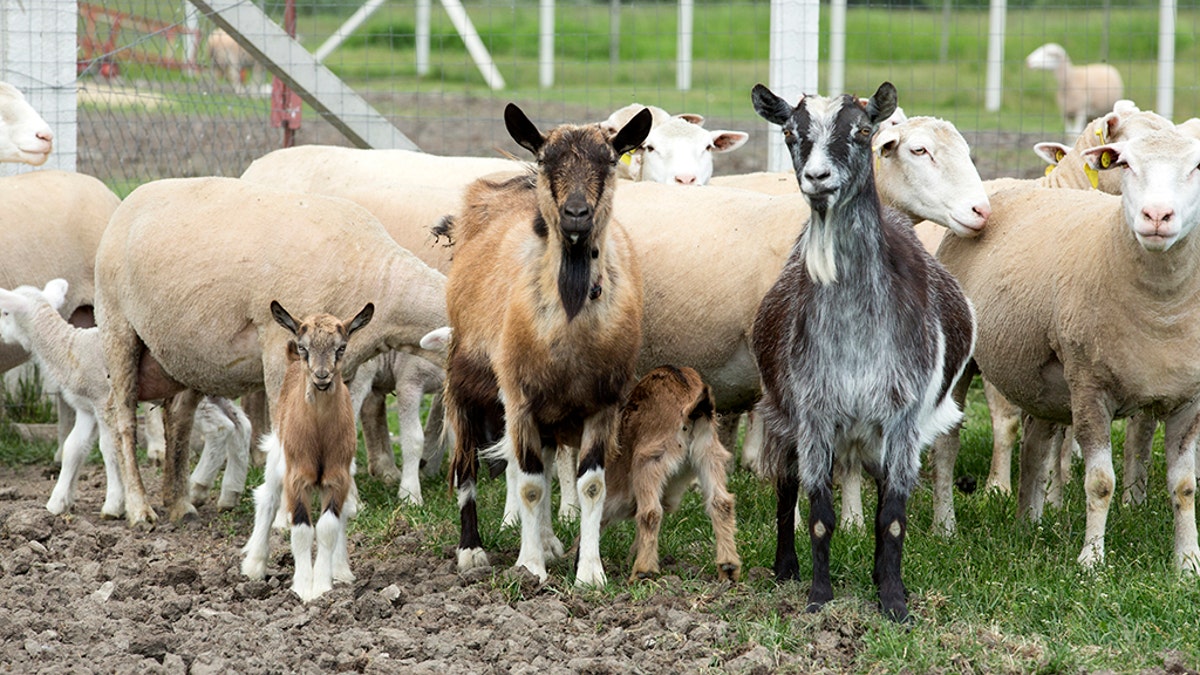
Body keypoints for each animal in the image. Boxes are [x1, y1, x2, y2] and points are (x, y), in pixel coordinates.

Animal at [93, 176, 448, 528]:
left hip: (185, 352)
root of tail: (132, 198)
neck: (379, 280)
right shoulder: (281, 347)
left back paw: (180, 504)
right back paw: (138, 508)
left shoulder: (342, 367)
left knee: (177, 415)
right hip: (117, 326)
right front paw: (285, 517)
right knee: (123, 418)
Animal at [241, 299, 372, 598]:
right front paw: (302, 587)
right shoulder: (296, 476)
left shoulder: (338, 475)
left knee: (343, 513)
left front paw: (322, 585)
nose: (321, 377)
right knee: (267, 497)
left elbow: (327, 527)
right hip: (278, 453)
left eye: (341, 347)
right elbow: (301, 529)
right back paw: (254, 564)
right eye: (304, 347)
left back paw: (341, 569)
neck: (319, 434)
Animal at [441, 100, 652, 583]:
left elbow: (590, 485)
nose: (576, 213)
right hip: (463, 380)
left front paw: (589, 571)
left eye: (608, 160)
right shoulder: (519, 398)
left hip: (552, 411)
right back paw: (471, 551)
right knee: (466, 467)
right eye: (546, 160)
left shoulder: (602, 403)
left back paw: (551, 540)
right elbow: (531, 485)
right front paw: (530, 566)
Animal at [600, 365, 739, 581]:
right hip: (710, 455)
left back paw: (642, 571)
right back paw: (729, 567)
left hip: (650, 461)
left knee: (650, 512)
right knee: (721, 502)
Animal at [936, 128, 1200, 569]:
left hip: (1040, 379)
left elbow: (1184, 486)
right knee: (946, 442)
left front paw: (1187, 564)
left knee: (1035, 444)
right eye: (1126, 164)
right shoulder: (1090, 386)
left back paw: (1029, 525)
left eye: (1197, 167)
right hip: (962, 363)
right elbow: (1100, 483)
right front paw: (1091, 561)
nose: (1156, 216)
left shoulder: (1188, 399)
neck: (1161, 310)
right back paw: (945, 527)